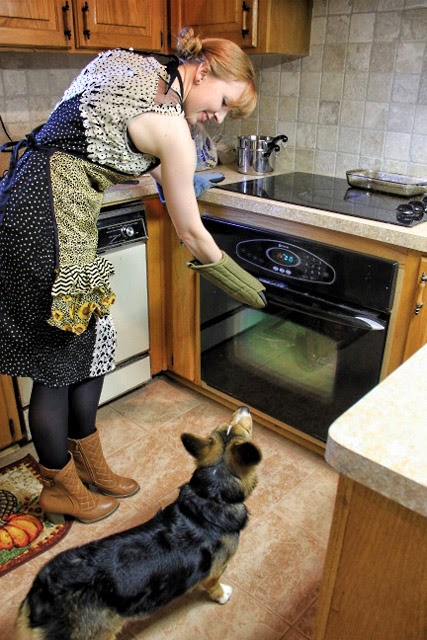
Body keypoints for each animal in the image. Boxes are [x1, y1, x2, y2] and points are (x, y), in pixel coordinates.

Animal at [15, 406, 262, 640]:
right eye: (245, 432)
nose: (243, 407)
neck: (211, 493)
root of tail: (38, 598)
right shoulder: (215, 571)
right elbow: (214, 586)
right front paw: (223, 595)